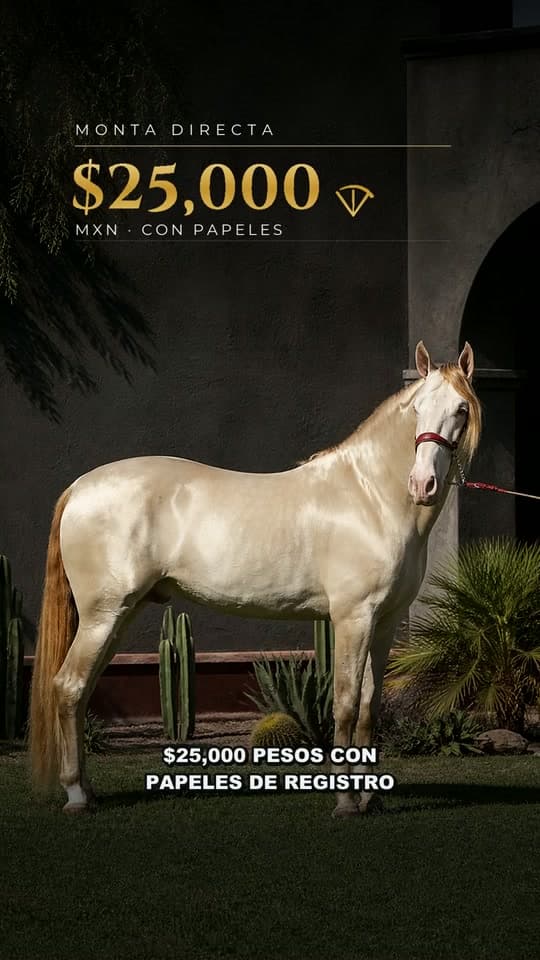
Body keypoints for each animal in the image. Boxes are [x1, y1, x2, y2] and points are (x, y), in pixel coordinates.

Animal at [29, 340, 481, 816]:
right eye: (418, 409)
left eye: (461, 409)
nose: (423, 484)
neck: (370, 497)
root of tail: (80, 487)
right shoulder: (352, 618)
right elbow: (344, 705)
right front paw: (345, 801)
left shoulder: (386, 621)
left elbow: (369, 708)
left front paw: (370, 797)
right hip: (102, 616)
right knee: (69, 687)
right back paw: (77, 796)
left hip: (118, 617)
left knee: (82, 690)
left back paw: (88, 791)